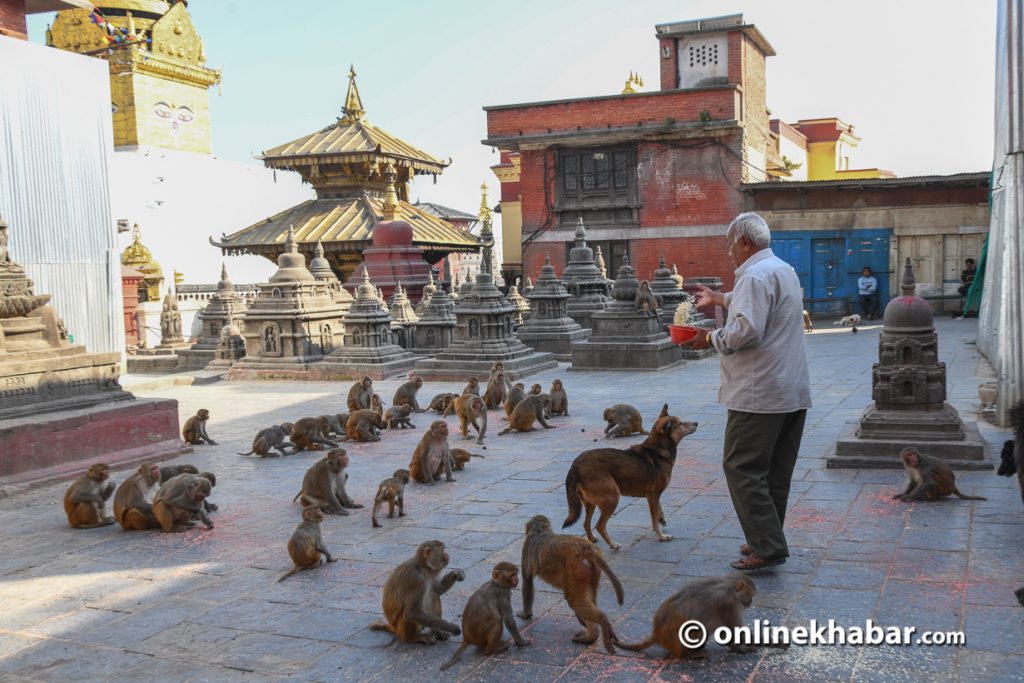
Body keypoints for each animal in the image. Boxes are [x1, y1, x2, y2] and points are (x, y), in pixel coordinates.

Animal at [520, 516, 622, 655]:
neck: (539, 532)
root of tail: (586, 548)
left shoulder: (527, 547)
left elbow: (527, 582)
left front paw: (526, 614)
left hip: (576, 568)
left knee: (574, 600)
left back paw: (601, 622)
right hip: (592, 570)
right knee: (587, 596)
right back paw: (591, 636)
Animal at [561, 405, 696, 548]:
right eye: (680, 424)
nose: (696, 423)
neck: (657, 451)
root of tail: (575, 465)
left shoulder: (653, 496)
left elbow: (659, 510)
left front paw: (662, 520)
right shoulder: (653, 496)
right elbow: (654, 520)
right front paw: (661, 536)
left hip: (590, 503)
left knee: (586, 523)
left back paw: (592, 540)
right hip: (612, 497)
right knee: (599, 525)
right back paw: (613, 544)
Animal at [614, 573, 761, 659]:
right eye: (751, 595)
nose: (750, 602)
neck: (729, 589)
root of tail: (656, 633)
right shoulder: (728, 605)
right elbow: (732, 629)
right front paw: (741, 647)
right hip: (673, 639)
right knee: (697, 630)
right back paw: (689, 654)